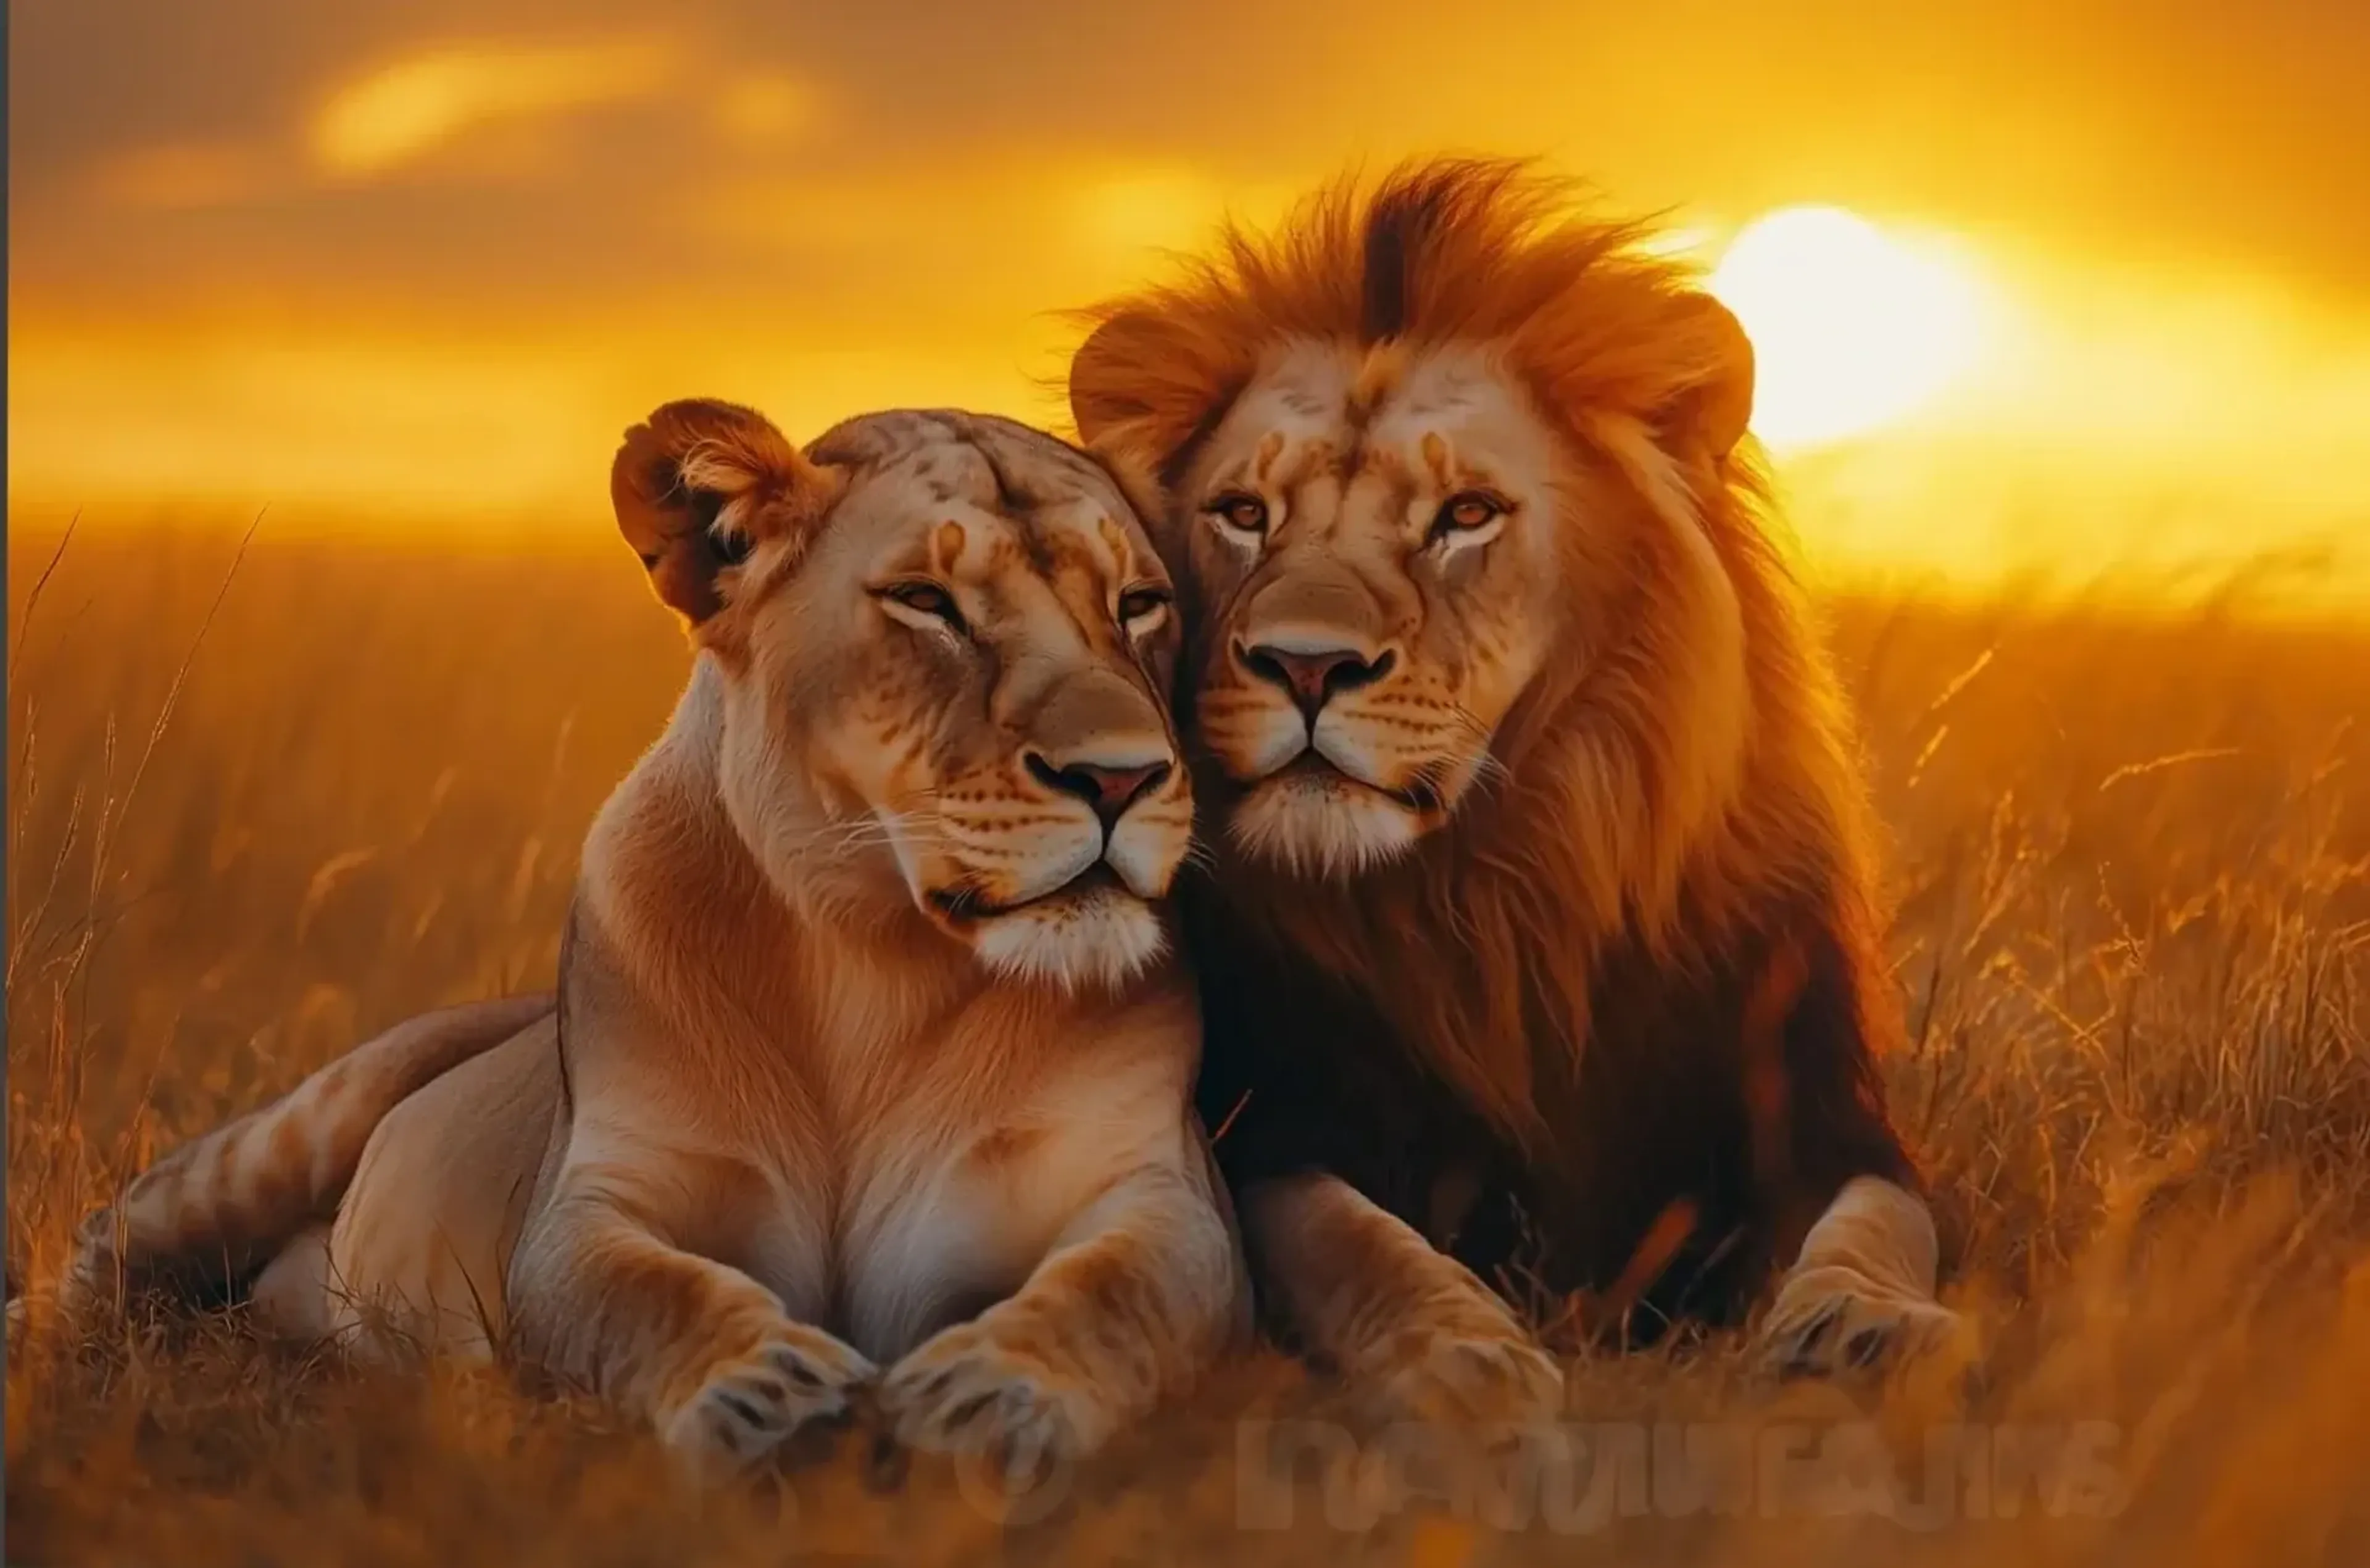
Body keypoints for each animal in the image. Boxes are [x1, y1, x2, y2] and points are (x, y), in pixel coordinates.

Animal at [62, 400, 1248, 1480]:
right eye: (927, 603)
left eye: (1140, 604)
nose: (1122, 778)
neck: (872, 961)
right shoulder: (592, 1199)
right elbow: (644, 1293)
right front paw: (768, 1391)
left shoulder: (1153, 1191)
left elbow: (1117, 1294)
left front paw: (991, 1397)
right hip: (296, 1125)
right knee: (108, 1240)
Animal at [1061, 157, 1961, 1423]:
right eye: (1244, 514)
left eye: (1465, 516)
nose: (1302, 664)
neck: (1498, 889)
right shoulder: (1269, 1124)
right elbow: (1345, 1236)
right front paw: (1460, 1351)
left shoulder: (1818, 1111)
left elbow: (1879, 1223)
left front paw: (1864, 1327)